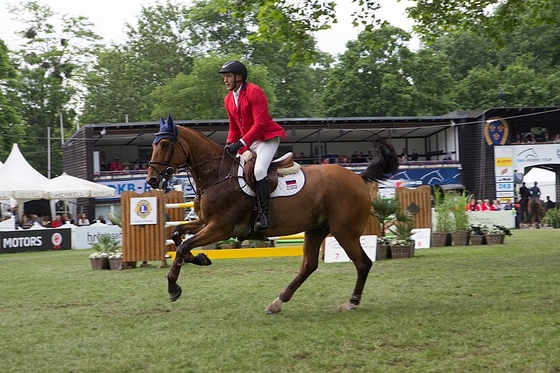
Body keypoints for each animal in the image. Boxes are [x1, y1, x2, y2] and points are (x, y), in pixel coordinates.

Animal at [144, 115, 398, 310]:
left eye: (164, 145)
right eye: (153, 145)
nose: (152, 180)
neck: (216, 174)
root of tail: (358, 177)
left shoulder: (221, 228)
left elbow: (184, 245)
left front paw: (173, 287)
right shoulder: (205, 222)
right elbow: (177, 234)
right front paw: (200, 259)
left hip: (344, 231)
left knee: (362, 263)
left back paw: (352, 302)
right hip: (316, 229)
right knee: (309, 266)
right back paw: (278, 302)